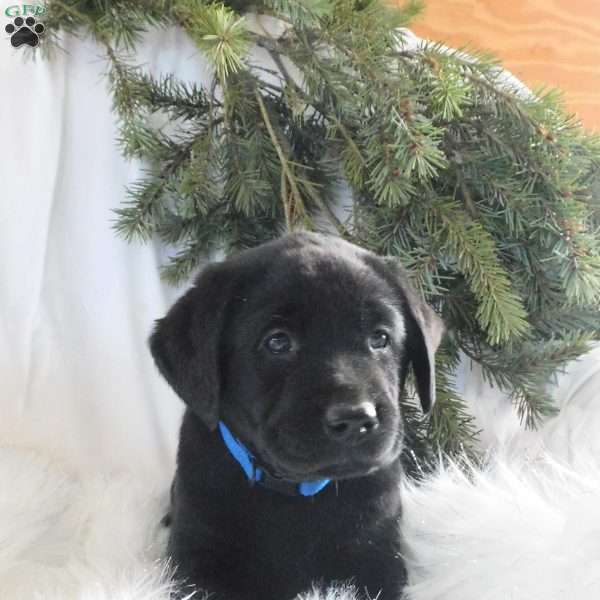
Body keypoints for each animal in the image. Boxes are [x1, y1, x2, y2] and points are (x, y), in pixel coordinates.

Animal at [150, 233, 442, 600]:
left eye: (380, 338)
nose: (355, 419)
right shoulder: (196, 560)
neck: (295, 492)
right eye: (277, 342)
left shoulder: (377, 553)